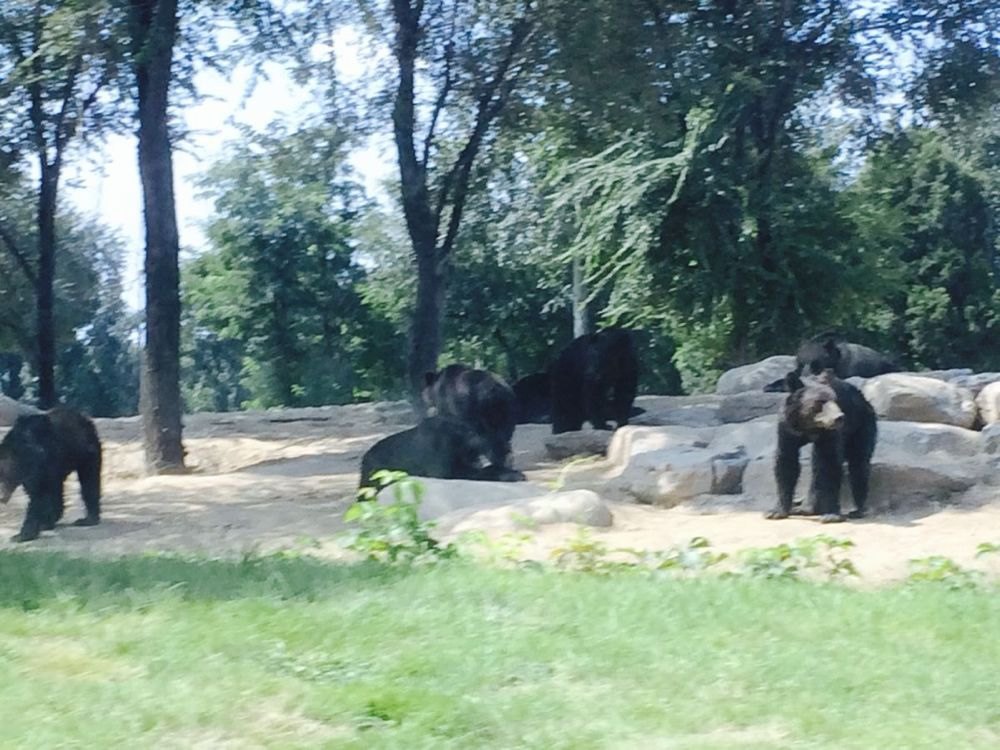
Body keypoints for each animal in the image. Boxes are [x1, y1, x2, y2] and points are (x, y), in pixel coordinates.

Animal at [0, 408, 102, 544]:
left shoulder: (40, 464)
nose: (1, 498)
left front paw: (22, 535)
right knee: (58, 489)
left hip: (86, 453)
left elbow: (38, 495)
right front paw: (43, 523)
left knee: (89, 482)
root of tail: (82, 418)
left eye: (5, 478)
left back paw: (88, 519)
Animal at [358, 414, 528, 490]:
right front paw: (513, 475)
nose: (509, 456)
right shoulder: (442, 463)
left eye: (508, 440)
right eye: (499, 441)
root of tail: (365, 457)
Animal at [764, 334, 900, 394]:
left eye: (815, 363)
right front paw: (770, 385)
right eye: (800, 362)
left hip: (886, 365)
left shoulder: (845, 369)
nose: (805, 374)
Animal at [764, 368, 876, 524]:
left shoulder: (829, 434)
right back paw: (805, 508)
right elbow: (786, 462)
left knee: (858, 464)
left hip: (861, 425)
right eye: (820, 402)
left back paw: (858, 509)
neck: (808, 427)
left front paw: (831, 514)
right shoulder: (787, 429)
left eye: (835, 400)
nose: (839, 417)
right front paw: (776, 511)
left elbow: (829, 464)